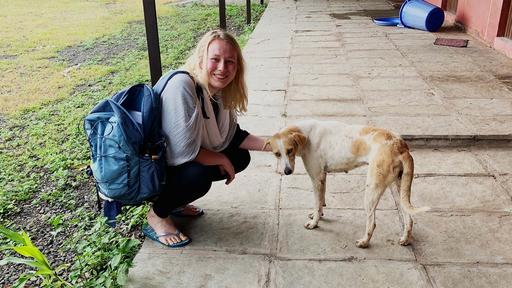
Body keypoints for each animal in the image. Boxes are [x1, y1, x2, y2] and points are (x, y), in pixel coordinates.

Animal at [266, 119, 430, 248]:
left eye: (290, 150)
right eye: (277, 154)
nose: (287, 171)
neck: (306, 135)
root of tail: (399, 144)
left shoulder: (316, 178)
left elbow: (317, 202)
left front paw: (314, 223)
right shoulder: (322, 177)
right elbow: (320, 201)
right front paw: (317, 214)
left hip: (372, 190)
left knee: (372, 221)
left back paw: (364, 242)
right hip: (398, 189)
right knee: (409, 218)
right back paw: (405, 239)